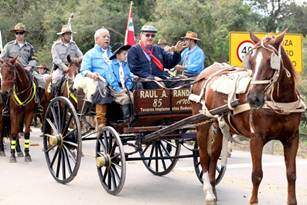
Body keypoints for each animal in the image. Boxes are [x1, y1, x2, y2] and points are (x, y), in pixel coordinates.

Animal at [192, 30, 306, 205]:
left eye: (270, 61)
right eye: (251, 62)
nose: (253, 98)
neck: (280, 104)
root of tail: (204, 74)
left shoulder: (292, 138)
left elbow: (291, 174)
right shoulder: (256, 138)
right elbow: (257, 174)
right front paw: (253, 201)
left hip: (219, 126)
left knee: (215, 156)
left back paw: (213, 188)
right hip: (202, 125)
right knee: (204, 156)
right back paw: (209, 192)